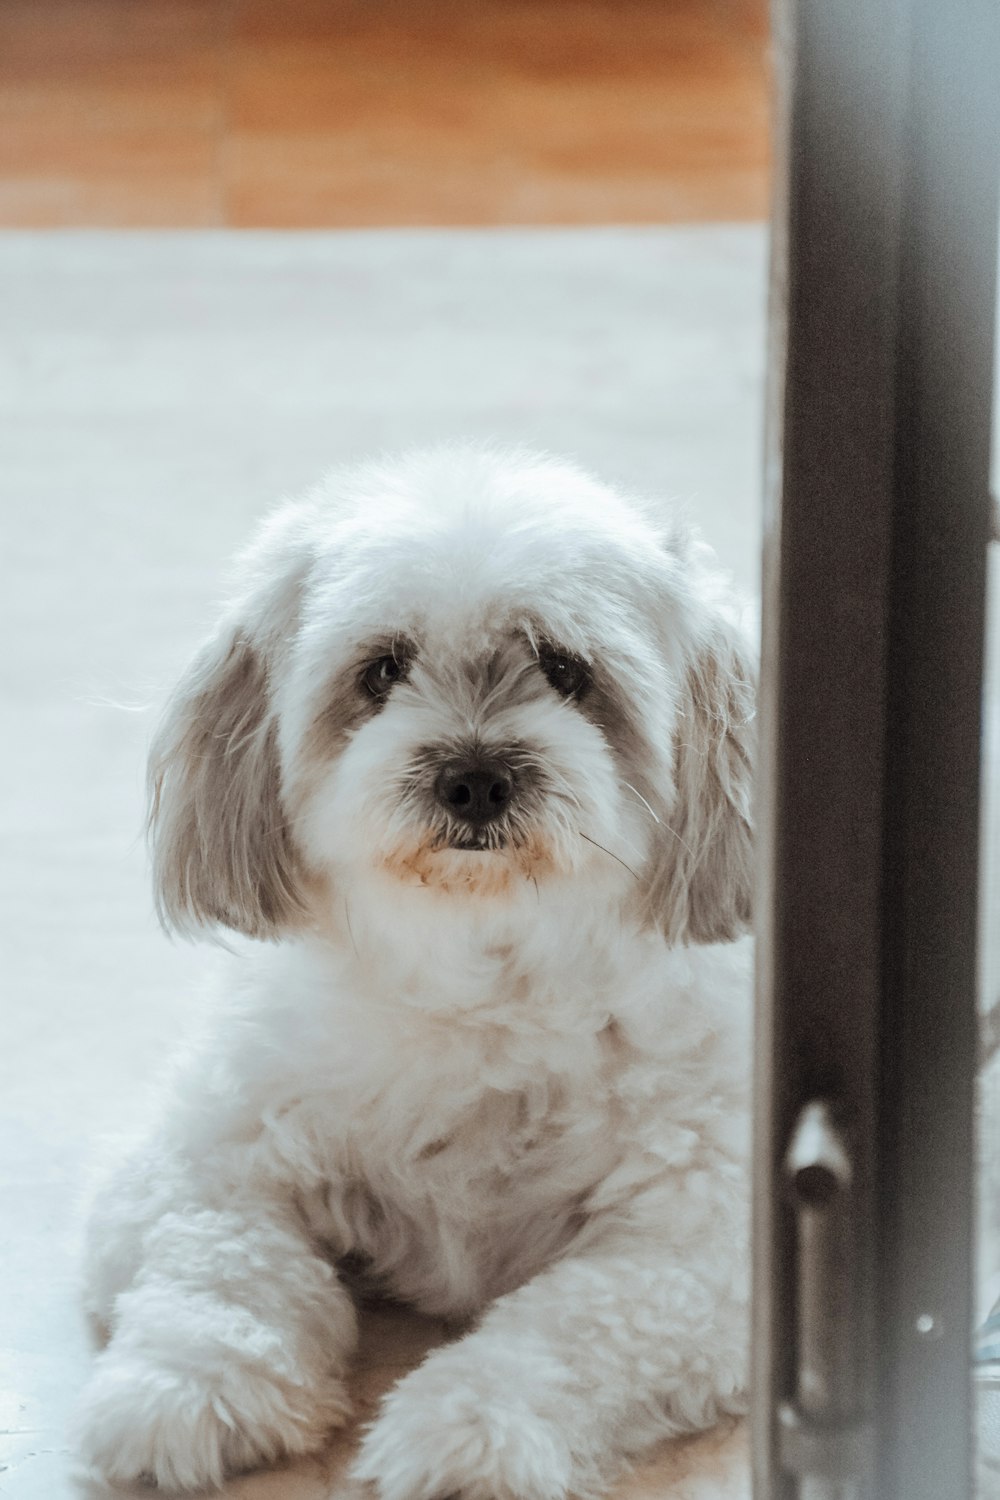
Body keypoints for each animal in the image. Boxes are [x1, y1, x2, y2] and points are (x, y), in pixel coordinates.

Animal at [74, 447, 755, 1500]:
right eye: (382, 670)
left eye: (567, 671)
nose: (474, 776)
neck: (478, 974)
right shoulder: (198, 1160)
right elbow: (224, 1263)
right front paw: (189, 1385)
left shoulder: (699, 1250)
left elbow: (566, 1328)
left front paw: (468, 1430)